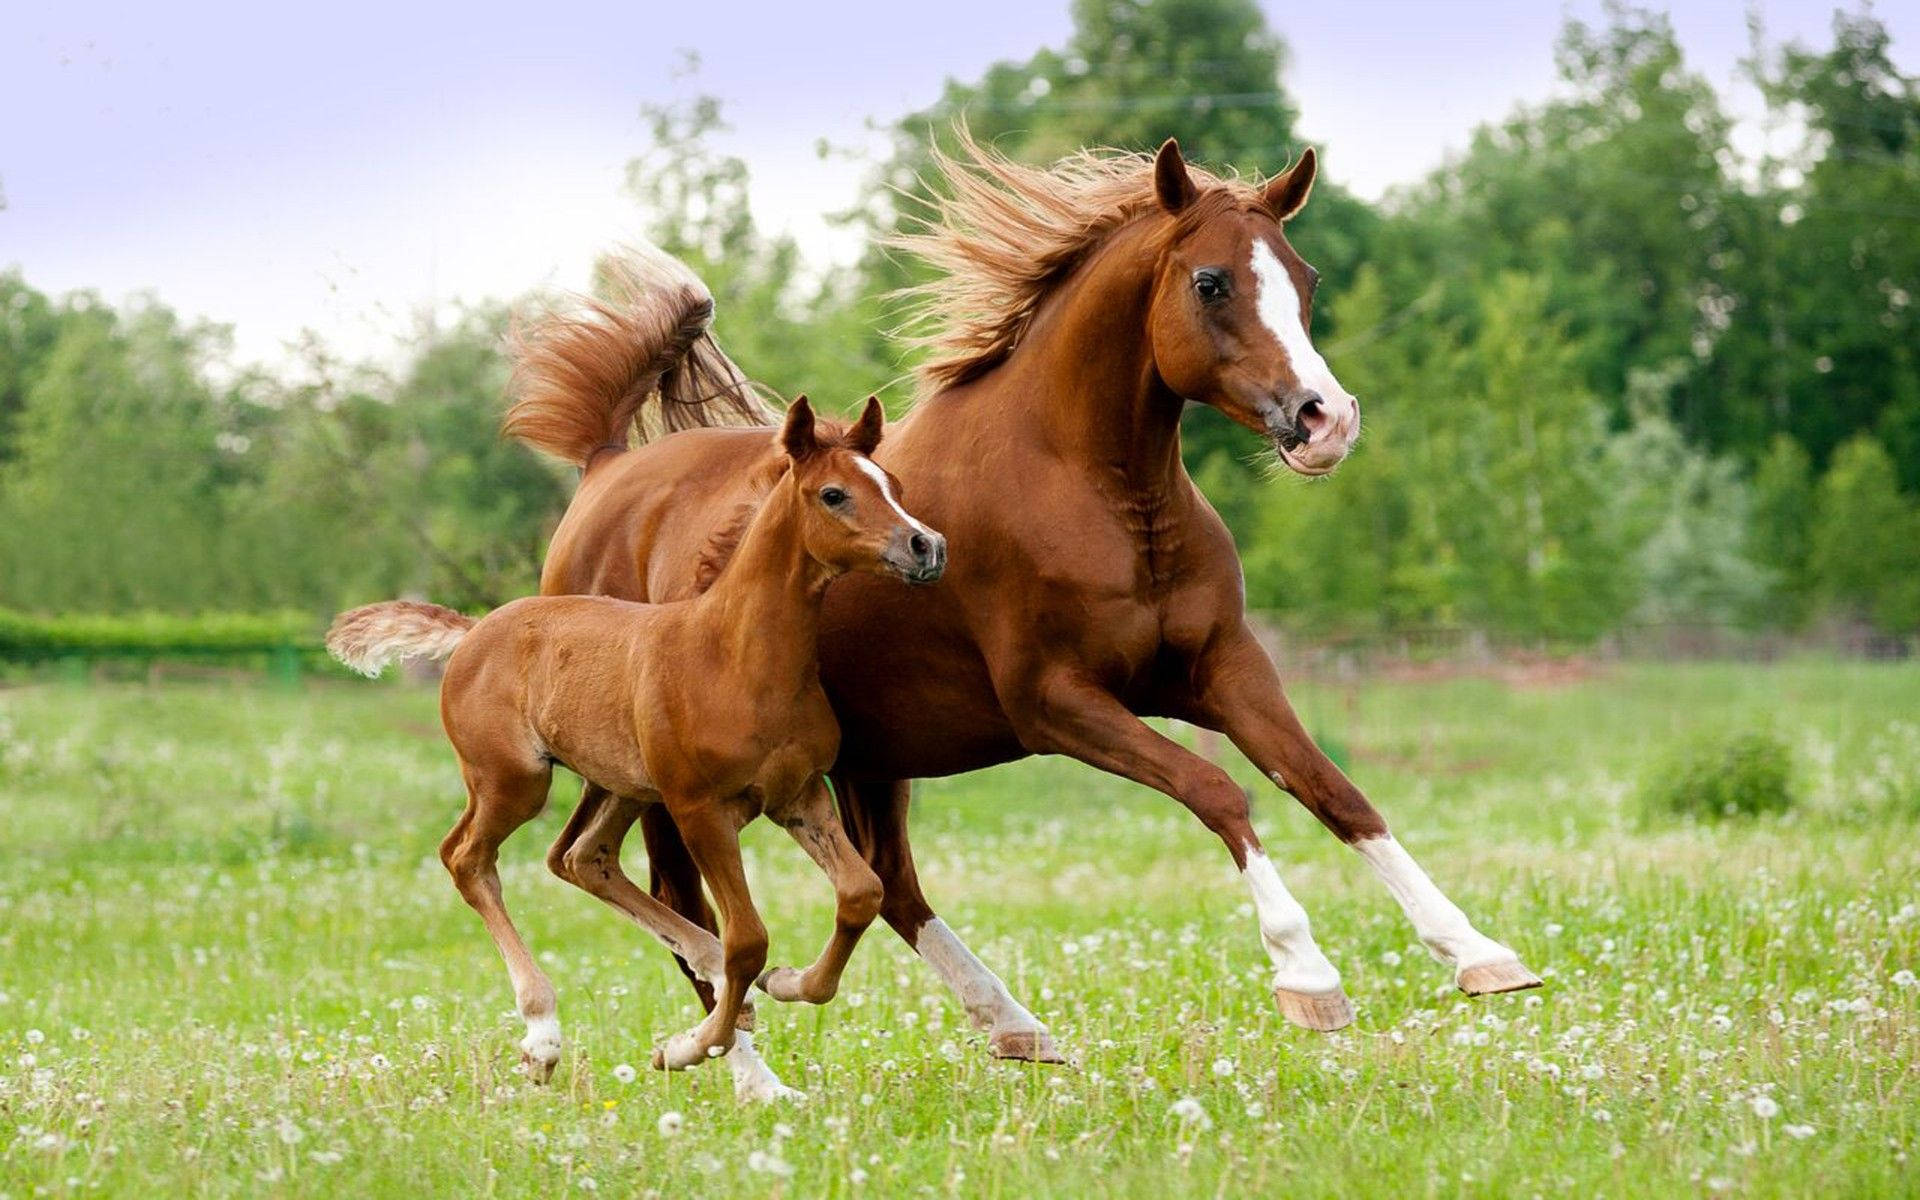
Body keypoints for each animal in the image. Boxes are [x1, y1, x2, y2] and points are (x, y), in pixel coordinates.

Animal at [330, 397, 944, 1090]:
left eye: (893, 485)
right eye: (834, 494)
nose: (926, 546)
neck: (735, 655)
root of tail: (474, 630)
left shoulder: (799, 797)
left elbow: (859, 893)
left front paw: (787, 982)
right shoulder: (700, 809)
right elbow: (749, 937)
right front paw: (687, 1047)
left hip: (621, 785)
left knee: (581, 858)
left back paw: (712, 971)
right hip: (515, 781)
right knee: (466, 857)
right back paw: (542, 1034)